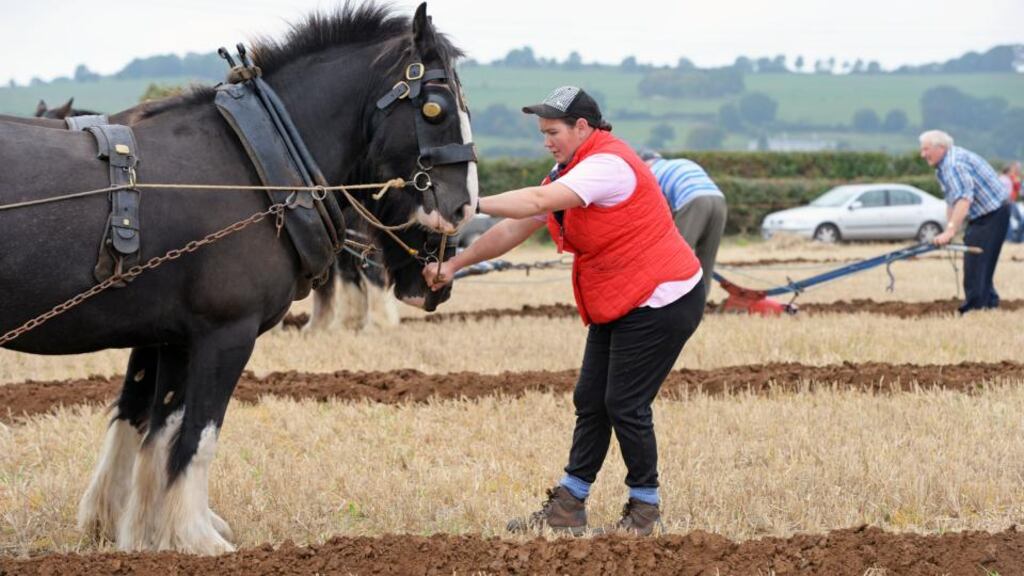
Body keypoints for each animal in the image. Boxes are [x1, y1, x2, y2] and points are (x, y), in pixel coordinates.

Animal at [0, 1, 477, 555]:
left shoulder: (169, 338)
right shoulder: (225, 331)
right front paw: (197, 536)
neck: (253, 168)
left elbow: (152, 426)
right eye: (436, 109)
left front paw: (137, 529)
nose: (463, 209)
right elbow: (197, 435)